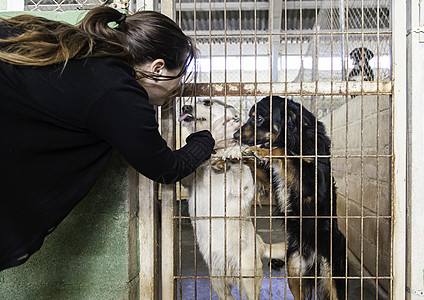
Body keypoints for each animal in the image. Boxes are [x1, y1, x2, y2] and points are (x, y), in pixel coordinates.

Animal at [179, 99, 284, 300]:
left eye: (207, 102)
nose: (184, 107)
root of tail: (261, 244)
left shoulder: (243, 188)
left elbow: (239, 165)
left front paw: (233, 153)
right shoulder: (186, 180)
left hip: (249, 281)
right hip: (218, 283)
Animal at [235, 96, 348, 300]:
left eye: (259, 118)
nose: (235, 136)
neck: (297, 136)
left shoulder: (314, 185)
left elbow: (286, 152)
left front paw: (262, 151)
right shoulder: (274, 182)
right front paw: (242, 154)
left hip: (332, 277)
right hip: (295, 270)